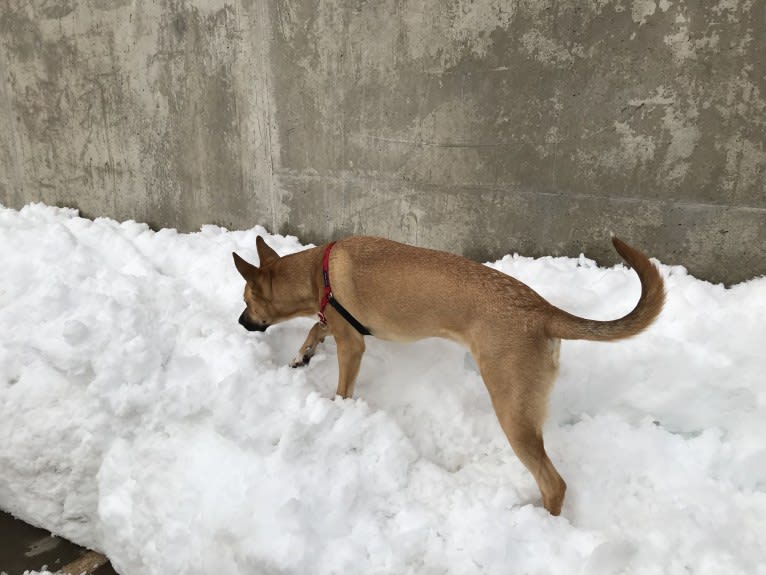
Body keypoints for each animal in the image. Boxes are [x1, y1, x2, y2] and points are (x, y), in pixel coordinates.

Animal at [234, 236, 664, 516]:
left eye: (246, 301)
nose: (240, 322)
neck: (315, 274)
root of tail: (543, 310)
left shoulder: (351, 344)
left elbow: (341, 385)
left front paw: (337, 411)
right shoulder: (336, 325)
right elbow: (314, 328)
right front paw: (302, 354)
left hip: (512, 412)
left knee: (553, 483)